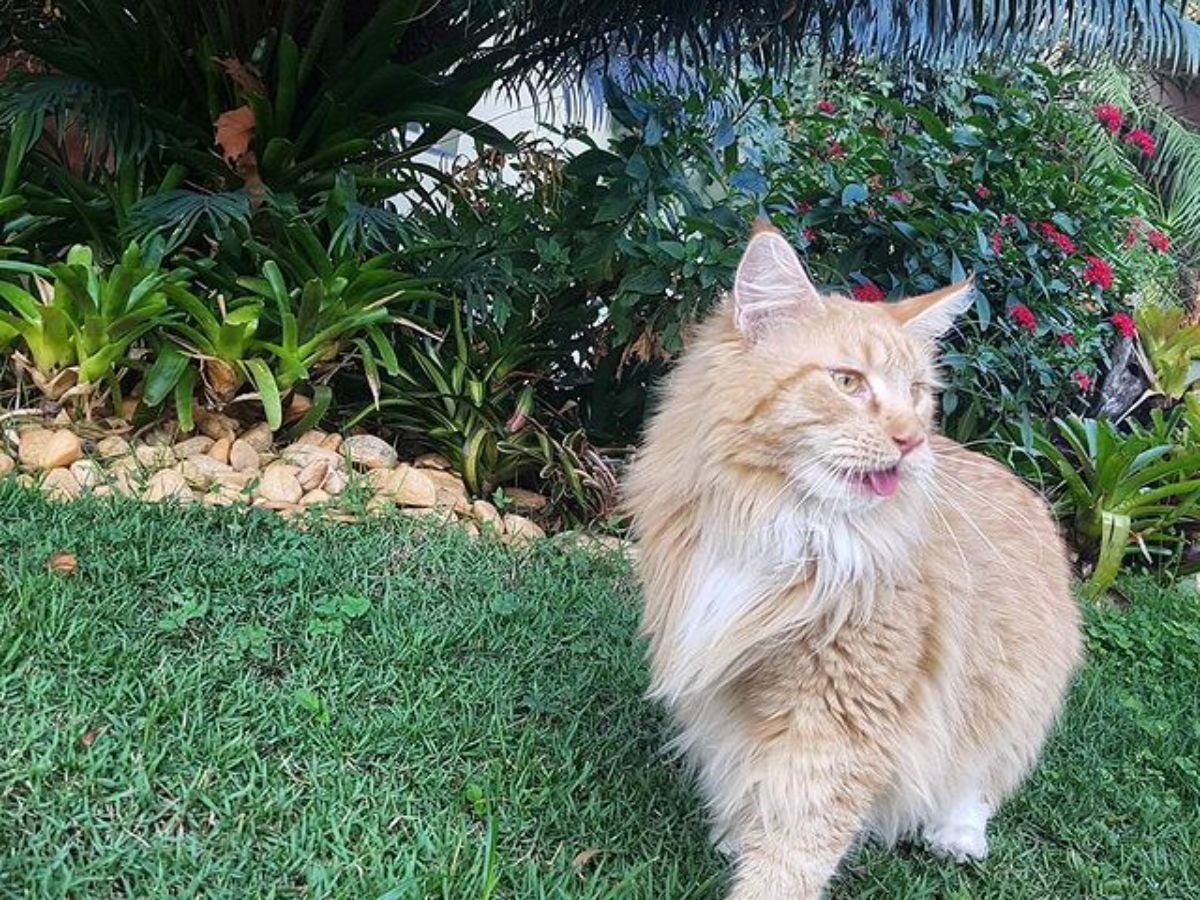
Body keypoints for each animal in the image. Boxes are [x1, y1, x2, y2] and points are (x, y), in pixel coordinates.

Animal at [624, 220, 1084, 900]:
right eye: (848, 383)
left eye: (916, 394)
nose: (911, 439)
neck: (784, 531)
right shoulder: (726, 678)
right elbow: (748, 779)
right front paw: (738, 832)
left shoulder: (841, 719)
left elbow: (797, 842)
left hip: (1010, 690)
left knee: (980, 776)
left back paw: (956, 835)